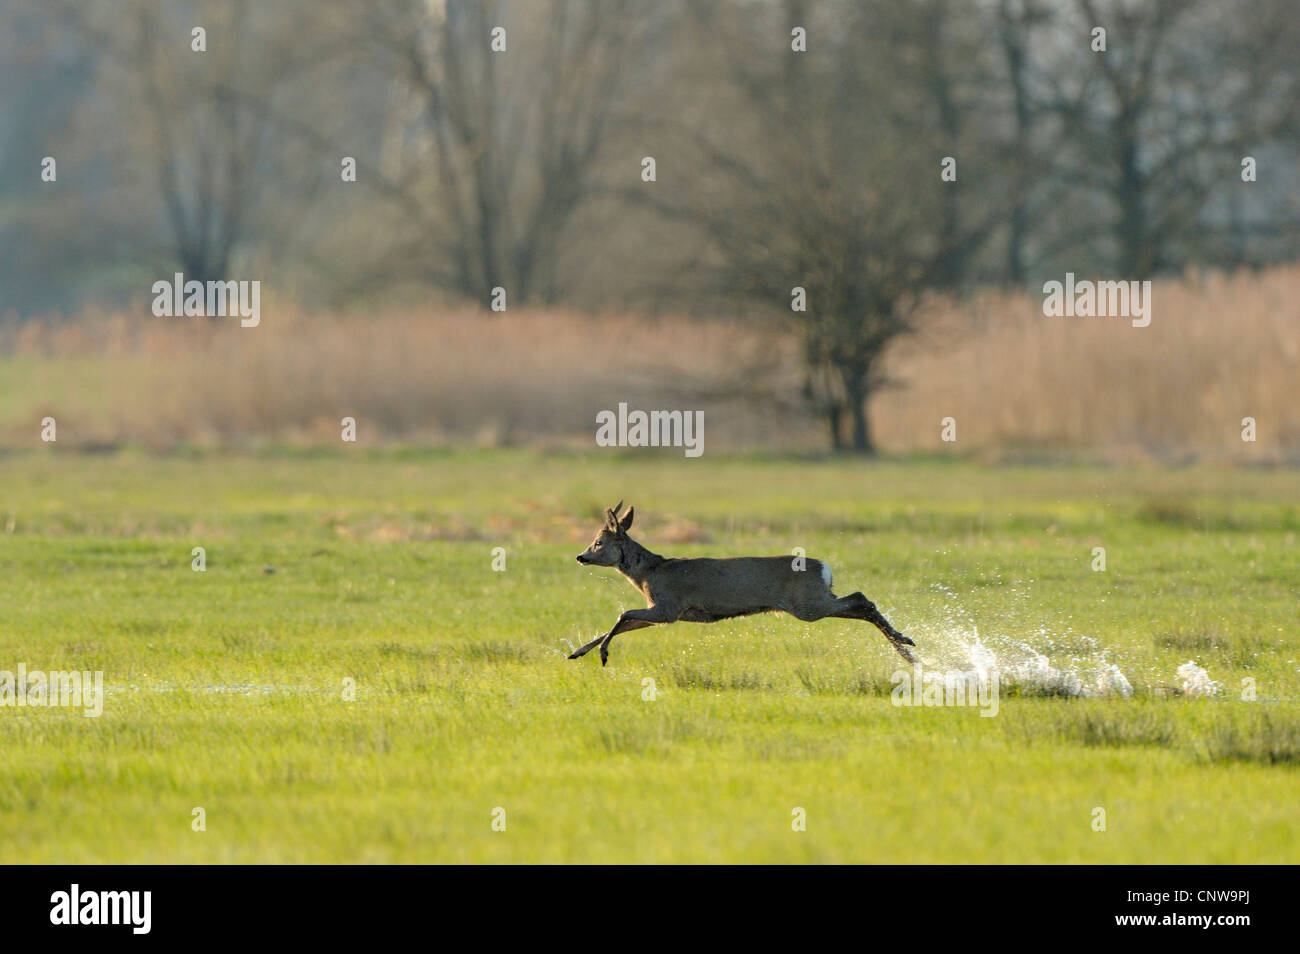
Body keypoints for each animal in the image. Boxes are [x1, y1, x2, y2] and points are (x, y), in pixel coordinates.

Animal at [566, 509, 915, 665]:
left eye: (598, 542)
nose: (581, 556)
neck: (648, 574)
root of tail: (824, 567)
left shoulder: (668, 607)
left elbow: (622, 615)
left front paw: (603, 654)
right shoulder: (664, 613)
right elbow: (622, 623)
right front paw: (577, 651)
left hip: (809, 604)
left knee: (860, 598)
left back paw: (906, 643)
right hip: (815, 599)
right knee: (860, 604)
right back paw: (906, 651)